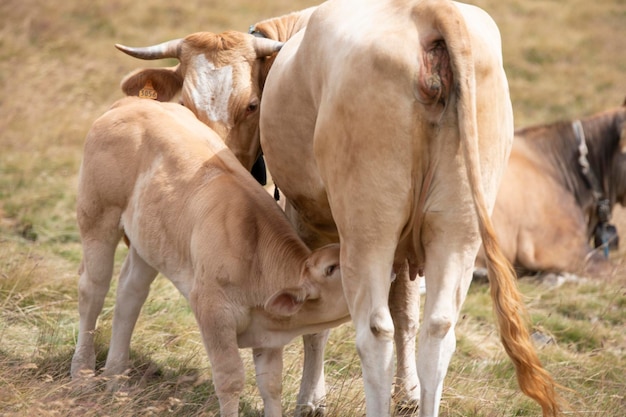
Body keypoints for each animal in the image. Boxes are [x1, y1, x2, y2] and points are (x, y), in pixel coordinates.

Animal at [71, 96, 352, 416]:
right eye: (331, 268)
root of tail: (133, 102)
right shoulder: (211, 310)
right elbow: (230, 379)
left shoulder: (268, 334)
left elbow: (271, 385)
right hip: (98, 216)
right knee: (92, 290)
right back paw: (82, 375)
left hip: (149, 240)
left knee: (130, 294)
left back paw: (116, 379)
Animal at [256, 0, 560, 416]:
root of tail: (428, 10)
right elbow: (406, 314)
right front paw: (409, 394)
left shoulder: (308, 223)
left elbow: (321, 323)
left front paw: (311, 400)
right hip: (458, 226)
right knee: (438, 328)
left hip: (369, 226)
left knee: (374, 330)